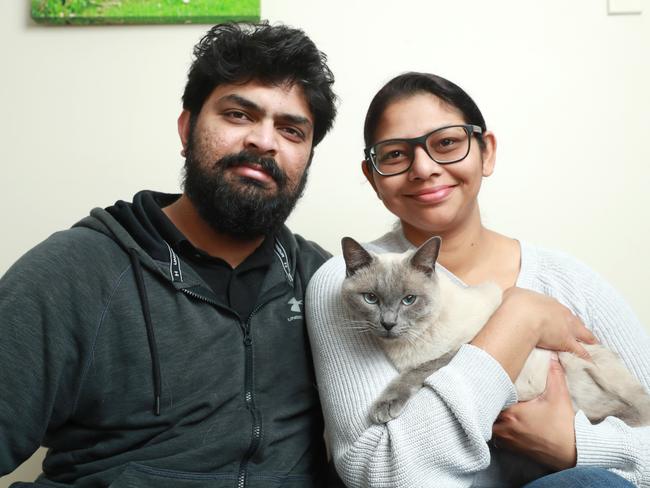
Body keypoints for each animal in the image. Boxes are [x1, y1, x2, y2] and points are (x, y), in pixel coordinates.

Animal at [340, 236, 648, 428]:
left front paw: (384, 407)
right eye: (371, 298)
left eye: (409, 300)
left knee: (635, 408)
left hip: (582, 362)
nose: (388, 324)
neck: (405, 347)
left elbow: (416, 372)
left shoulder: (461, 348)